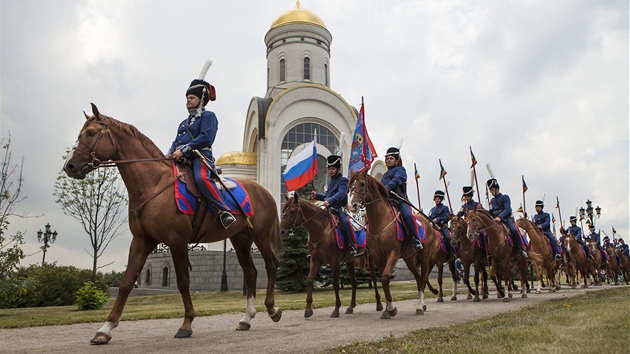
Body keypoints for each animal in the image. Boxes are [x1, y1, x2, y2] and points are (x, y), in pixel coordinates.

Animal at [63, 104, 284, 342]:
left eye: (91, 133)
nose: (70, 166)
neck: (154, 185)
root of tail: (264, 191)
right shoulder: (142, 240)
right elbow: (126, 282)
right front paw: (105, 328)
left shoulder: (177, 240)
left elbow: (183, 281)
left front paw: (186, 323)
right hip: (240, 238)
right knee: (251, 272)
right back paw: (246, 318)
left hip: (261, 235)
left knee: (271, 265)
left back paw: (272, 309)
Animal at [348, 170, 428, 316]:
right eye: (350, 186)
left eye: (362, 184)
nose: (353, 205)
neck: (380, 221)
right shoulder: (377, 256)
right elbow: (384, 280)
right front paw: (387, 309)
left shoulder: (393, 253)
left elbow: (385, 277)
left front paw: (391, 308)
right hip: (409, 258)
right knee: (418, 277)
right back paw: (422, 305)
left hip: (424, 256)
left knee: (423, 278)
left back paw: (420, 306)